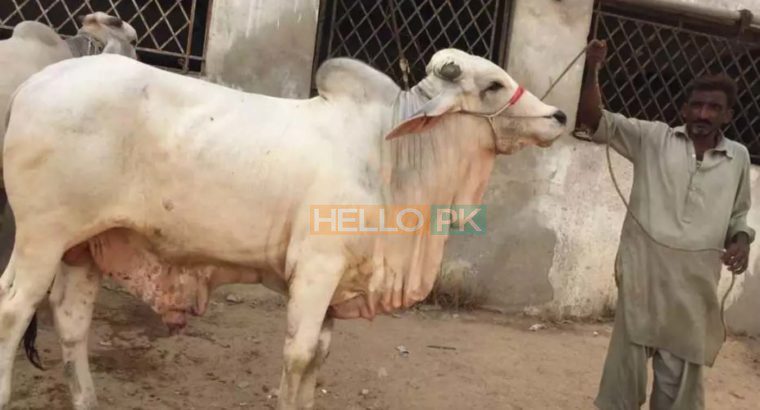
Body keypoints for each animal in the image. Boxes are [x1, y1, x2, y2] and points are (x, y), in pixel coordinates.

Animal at [0, 48, 567, 410]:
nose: (559, 116)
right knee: (13, 309)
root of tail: (33, 82)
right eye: (492, 85)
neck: (390, 156)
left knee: (71, 321)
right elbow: (297, 357)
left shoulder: (337, 289)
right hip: (41, 237)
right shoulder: (315, 272)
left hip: (82, 247)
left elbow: (317, 358)